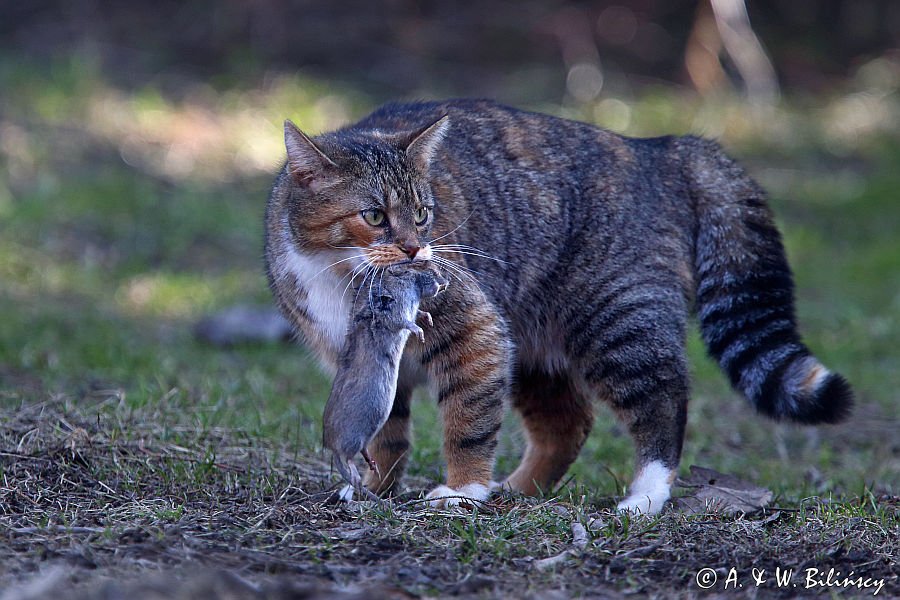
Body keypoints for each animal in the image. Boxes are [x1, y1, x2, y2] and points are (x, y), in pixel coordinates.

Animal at [326, 260, 448, 500]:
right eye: (422, 266)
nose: (445, 281)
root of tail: (332, 448)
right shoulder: (396, 310)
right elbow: (406, 323)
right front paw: (420, 333)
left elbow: (420, 314)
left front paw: (428, 319)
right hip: (351, 439)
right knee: (349, 463)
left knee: (362, 452)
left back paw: (372, 466)